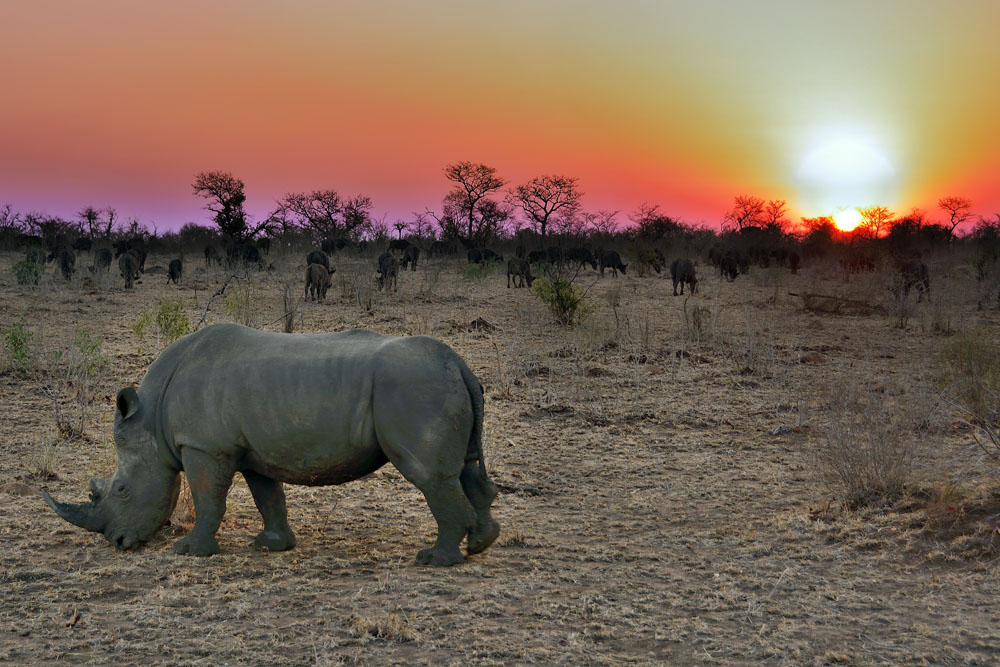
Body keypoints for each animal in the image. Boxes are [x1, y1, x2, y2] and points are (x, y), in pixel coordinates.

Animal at [43, 323, 501, 566]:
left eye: (121, 490)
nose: (118, 542)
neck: (151, 419)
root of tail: (458, 363)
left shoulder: (204, 447)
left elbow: (209, 500)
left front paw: (190, 551)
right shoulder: (252, 451)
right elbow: (268, 496)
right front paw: (272, 545)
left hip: (414, 388)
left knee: (430, 475)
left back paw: (435, 558)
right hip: (437, 385)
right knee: (464, 470)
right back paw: (481, 544)